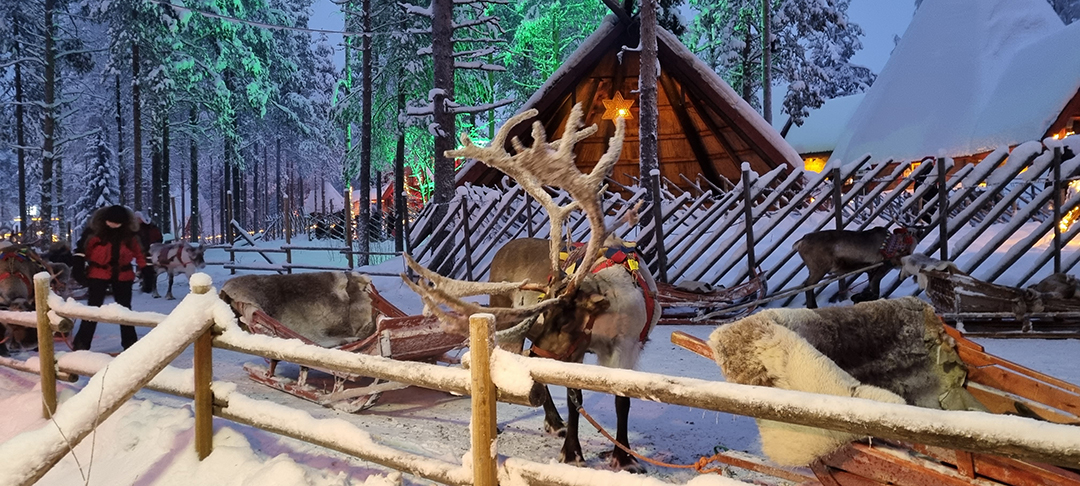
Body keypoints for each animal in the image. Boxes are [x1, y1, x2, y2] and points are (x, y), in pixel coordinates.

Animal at [400, 104, 660, 473]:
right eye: (545, 318)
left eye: (565, 321)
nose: (535, 358)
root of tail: (504, 247)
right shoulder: (572, 352)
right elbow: (575, 396)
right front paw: (572, 452)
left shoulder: (626, 347)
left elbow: (622, 399)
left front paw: (623, 457)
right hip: (505, 311)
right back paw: (541, 421)